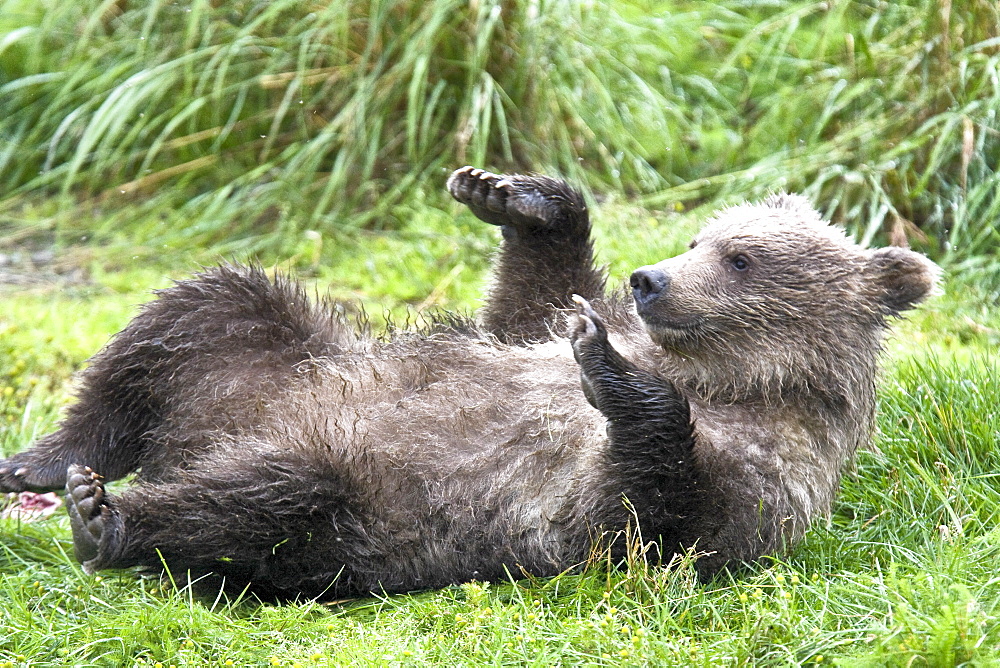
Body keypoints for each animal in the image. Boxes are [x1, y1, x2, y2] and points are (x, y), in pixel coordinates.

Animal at [0, 168, 936, 600]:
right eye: (701, 236)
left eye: (741, 257)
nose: (650, 280)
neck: (738, 376)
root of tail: (191, 439)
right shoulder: (527, 332)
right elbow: (532, 304)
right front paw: (522, 199)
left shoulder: (760, 471)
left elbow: (648, 516)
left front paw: (610, 369)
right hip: (269, 356)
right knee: (198, 309)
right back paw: (42, 460)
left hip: (363, 505)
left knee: (266, 502)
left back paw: (107, 516)